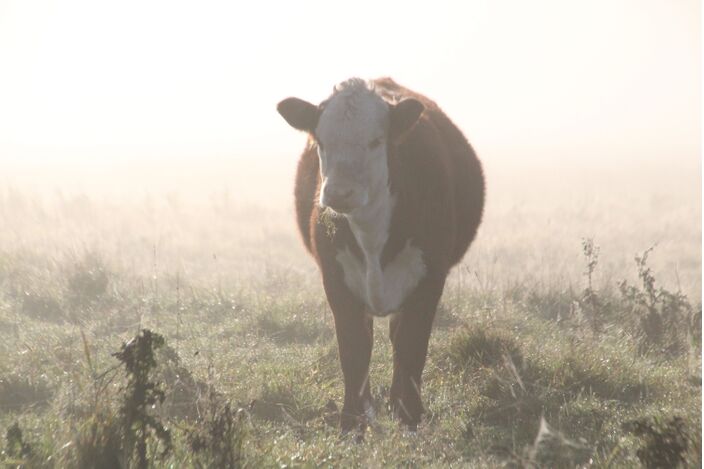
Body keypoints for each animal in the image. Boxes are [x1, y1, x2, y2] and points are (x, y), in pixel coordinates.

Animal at [276, 77, 484, 432]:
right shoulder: (336, 281)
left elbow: (412, 346)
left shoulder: (429, 280)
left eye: (375, 141)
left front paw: (409, 417)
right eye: (321, 141)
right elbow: (354, 350)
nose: (338, 193)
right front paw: (352, 422)